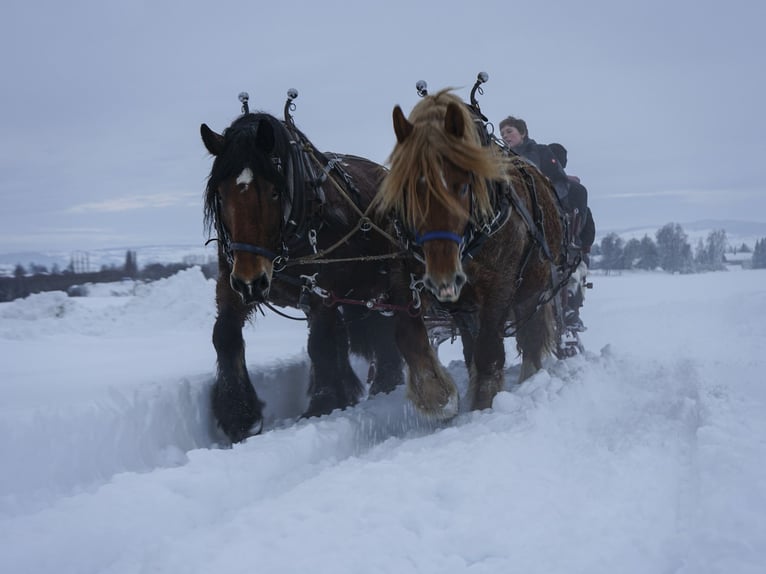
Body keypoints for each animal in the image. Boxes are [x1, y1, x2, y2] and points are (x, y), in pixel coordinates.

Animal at [376, 88, 568, 416]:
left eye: (463, 187)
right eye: (406, 191)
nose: (443, 276)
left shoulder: (501, 284)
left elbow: (490, 348)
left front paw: (484, 404)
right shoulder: (406, 278)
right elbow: (408, 336)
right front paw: (438, 397)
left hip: (531, 288)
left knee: (529, 336)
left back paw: (530, 378)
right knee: (470, 344)